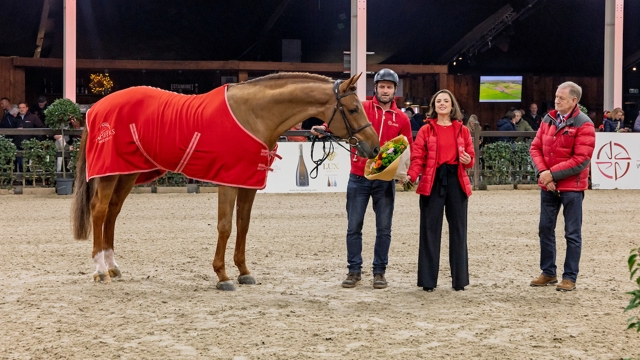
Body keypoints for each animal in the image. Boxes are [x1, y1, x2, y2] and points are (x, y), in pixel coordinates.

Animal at [70, 71, 380, 292]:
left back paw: (112, 266)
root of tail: (96, 108)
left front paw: (244, 272)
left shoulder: (247, 183)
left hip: (128, 172)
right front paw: (222, 275)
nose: (375, 147)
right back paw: (100, 271)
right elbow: (225, 226)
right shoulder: (228, 181)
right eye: (354, 109)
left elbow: (243, 225)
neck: (253, 115)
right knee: (99, 211)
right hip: (109, 173)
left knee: (112, 212)